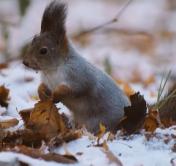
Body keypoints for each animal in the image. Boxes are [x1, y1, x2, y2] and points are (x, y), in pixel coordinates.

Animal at [23, 0, 129, 132]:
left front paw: (56, 94)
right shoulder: (48, 81)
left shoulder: (78, 75)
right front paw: (42, 93)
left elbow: (73, 89)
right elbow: (42, 86)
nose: (25, 62)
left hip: (99, 121)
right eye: (33, 40)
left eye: (43, 50)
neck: (52, 70)